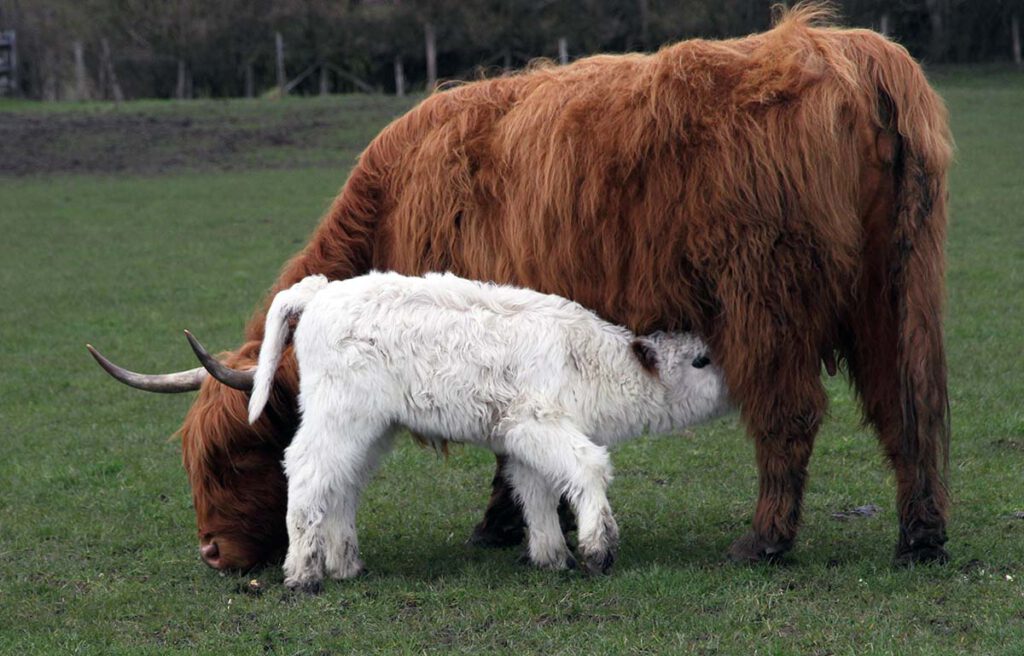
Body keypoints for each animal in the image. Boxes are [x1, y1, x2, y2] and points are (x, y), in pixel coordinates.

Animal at [246, 268, 729, 589]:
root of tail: (320, 291)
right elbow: (589, 467)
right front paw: (598, 549)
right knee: (308, 472)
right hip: (337, 415)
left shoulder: (523, 439)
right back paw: (303, 573)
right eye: (701, 360)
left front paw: (552, 557)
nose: (736, 384)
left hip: (369, 428)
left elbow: (537, 492)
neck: (588, 360)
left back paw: (345, 565)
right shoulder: (538, 422)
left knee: (343, 482)